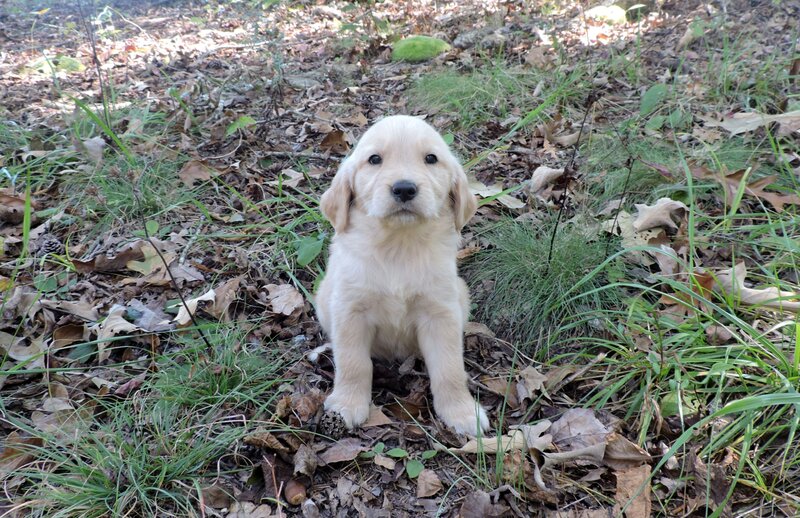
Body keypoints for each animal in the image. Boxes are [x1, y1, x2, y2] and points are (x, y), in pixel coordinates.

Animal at [314, 116, 488, 436]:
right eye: (374, 159)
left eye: (431, 158)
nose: (404, 189)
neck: (398, 245)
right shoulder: (350, 310)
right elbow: (354, 363)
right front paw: (346, 405)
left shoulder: (441, 312)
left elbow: (449, 368)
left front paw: (462, 412)